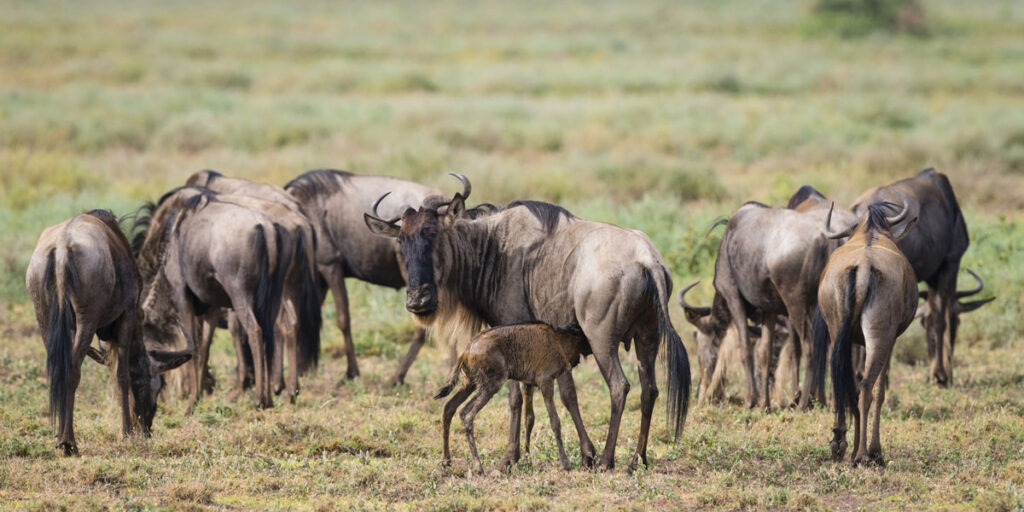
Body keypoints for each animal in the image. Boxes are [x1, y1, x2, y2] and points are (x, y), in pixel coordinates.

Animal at [434, 321, 593, 473]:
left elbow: (529, 418)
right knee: (467, 414)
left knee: (449, 407)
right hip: (491, 385)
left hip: (470, 384)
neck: (559, 339)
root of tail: (466, 351)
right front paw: (565, 464)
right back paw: (478, 466)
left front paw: (527, 457)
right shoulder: (546, 382)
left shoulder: (527, 383)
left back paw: (446, 460)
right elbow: (555, 422)